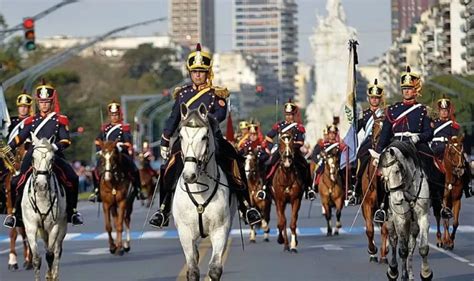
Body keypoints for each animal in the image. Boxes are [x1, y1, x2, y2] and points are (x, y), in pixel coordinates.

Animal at [22, 135, 67, 278]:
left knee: (56, 252)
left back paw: (54, 274)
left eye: (52, 159)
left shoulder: (55, 226)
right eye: (33, 158)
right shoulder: (30, 226)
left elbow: (50, 255)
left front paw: (51, 276)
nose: (41, 185)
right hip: (42, 230)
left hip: (62, 227)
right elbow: (36, 259)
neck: (42, 197)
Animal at [172, 103, 237, 280]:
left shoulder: (220, 229)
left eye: (204, 137)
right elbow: (193, 269)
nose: (189, 175)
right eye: (181, 136)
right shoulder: (185, 232)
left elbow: (215, 269)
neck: (200, 189)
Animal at [370, 141, 434, 280]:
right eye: (382, 175)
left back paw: (409, 273)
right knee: (394, 241)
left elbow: (423, 247)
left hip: (413, 224)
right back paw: (393, 270)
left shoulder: (423, 216)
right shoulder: (400, 219)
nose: (397, 200)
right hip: (390, 220)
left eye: (397, 171)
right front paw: (397, 273)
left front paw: (426, 273)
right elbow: (402, 249)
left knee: (410, 245)